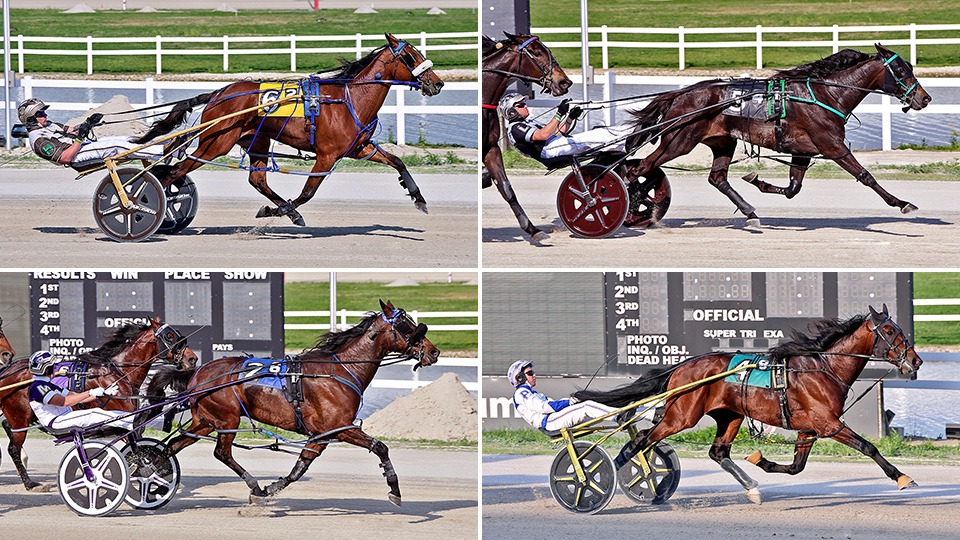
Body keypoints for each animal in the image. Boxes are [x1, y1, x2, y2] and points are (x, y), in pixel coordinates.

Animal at [0, 317, 197, 491]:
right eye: (169, 336)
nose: (192, 359)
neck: (119, 373)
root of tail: (8, 370)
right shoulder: (122, 421)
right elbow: (135, 445)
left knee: (7, 426)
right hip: (20, 418)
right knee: (13, 448)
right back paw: (29, 483)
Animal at [136, 34, 444, 227]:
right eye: (410, 56)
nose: (438, 83)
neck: (349, 100)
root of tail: (218, 93)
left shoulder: (360, 148)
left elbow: (398, 161)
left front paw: (419, 198)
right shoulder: (327, 156)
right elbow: (308, 193)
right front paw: (280, 210)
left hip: (255, 140)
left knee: (257, 180)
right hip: (216, 143)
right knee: (174, 172)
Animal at [145, 300, 440, 506]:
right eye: (407, 326)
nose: (434, 351)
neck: (341, 370)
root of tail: (197, 372)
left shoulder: (321, 435)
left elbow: (300, 468)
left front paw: (270, 490)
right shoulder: (340, 427)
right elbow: (380, 448)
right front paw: (395, 490)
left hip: (204, 421)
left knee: (170, 447)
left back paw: (152, 476)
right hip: (228, 419)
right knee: (222, 453)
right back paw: (251, 483)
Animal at [573, 304, 922, 504]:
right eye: (889, 330)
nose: (916, 361)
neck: (823, 367)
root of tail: (683, 366)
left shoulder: (809, 428)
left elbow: (796, 467)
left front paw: (761, 461)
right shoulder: (829, 424)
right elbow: (869, 447)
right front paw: (902, 477)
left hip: (730, 416)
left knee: (716, 453)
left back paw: (749, 486)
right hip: (681, 416)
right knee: (641, 443)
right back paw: (595, 480)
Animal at [624, 44, 932, 226]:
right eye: (901, 70)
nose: (925, 98)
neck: (824, 94)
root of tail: (680, 93)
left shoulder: (803, 149)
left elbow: (793, 188)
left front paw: (757, 180)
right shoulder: (832, 146)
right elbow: (865, 176)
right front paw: (902, 204)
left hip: (721, 141)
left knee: (714, 178)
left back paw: (749, 212)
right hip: (680, 140)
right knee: (641, 167)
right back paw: (633, 205)